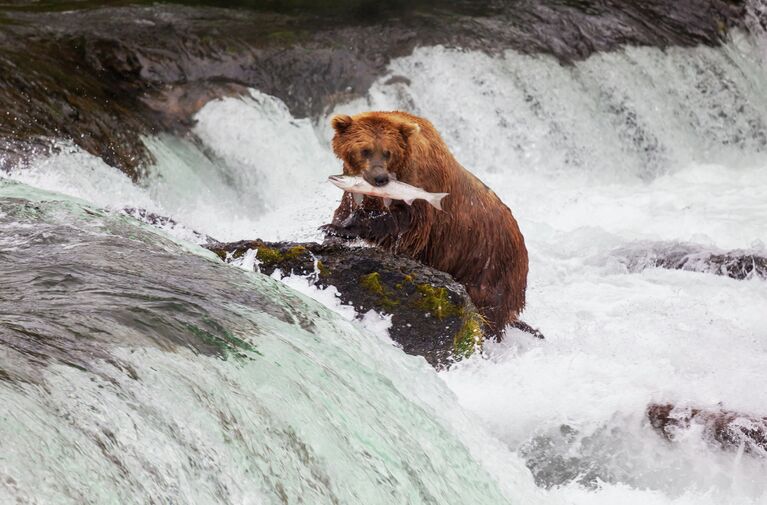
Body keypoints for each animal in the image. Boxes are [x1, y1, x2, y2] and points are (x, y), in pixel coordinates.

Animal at [322, 112, 528, 336]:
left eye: (387, 152)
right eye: (365, 150)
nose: (380, 178)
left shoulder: (420, 190)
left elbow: (403, 223)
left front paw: (340, 228)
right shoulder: (358, 193)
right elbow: (345, 209)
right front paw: (333, 231)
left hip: (489, 267)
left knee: (488, 311)